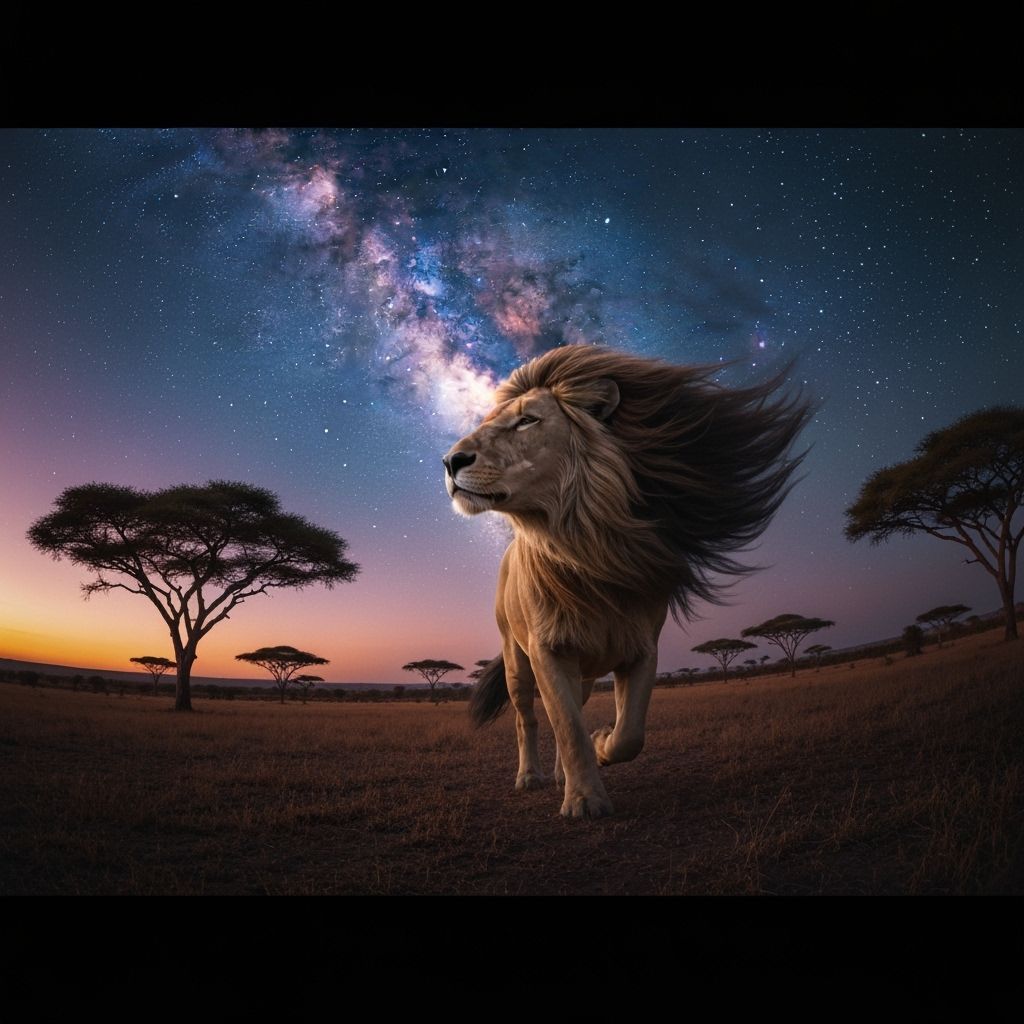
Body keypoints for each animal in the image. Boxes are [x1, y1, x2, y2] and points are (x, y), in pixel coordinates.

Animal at [443, 345, 813, 818]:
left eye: (527, 421)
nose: (450, 461)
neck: (589, 549)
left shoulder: (641, 648)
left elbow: (628, 733)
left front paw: (600, 747)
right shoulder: (548, 651)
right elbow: (566, 726)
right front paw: (584, 800)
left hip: (582, 673)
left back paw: (563, 772)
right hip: (516, 659)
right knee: (528, 718)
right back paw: (530, 777)